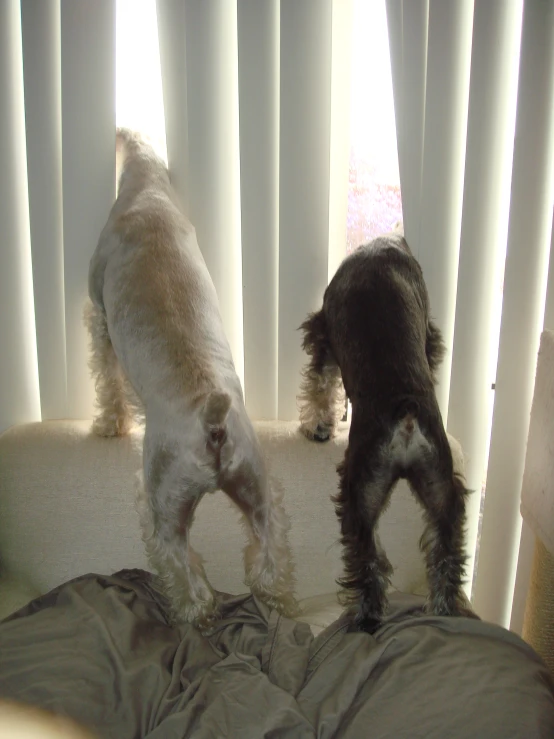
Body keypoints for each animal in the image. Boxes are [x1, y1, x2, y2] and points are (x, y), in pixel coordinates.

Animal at [84, 130, 296, 628]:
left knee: (188, 576)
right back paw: (280, 608)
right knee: (268, 557)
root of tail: (211, 424)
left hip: (163, 504)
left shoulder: (100, 316)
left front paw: (108, 423)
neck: (146, 193)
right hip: (257, 488)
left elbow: (106, 377)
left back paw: (191, 617)